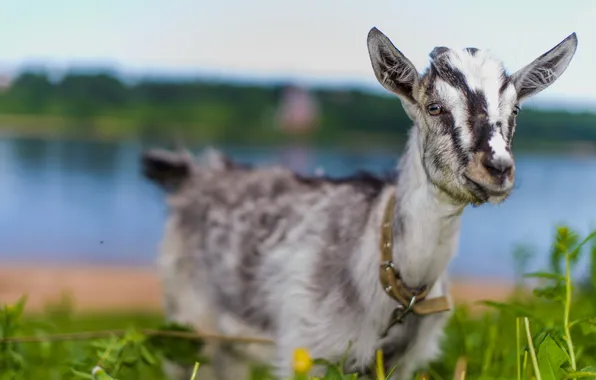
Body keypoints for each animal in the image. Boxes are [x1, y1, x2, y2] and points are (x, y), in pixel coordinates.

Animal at [141, 28, 576, 378]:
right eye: (434, 107)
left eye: (515, 109)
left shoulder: (401, 364)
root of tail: (196, 173)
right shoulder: (307, 349)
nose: (497, 168)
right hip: (188, 323)